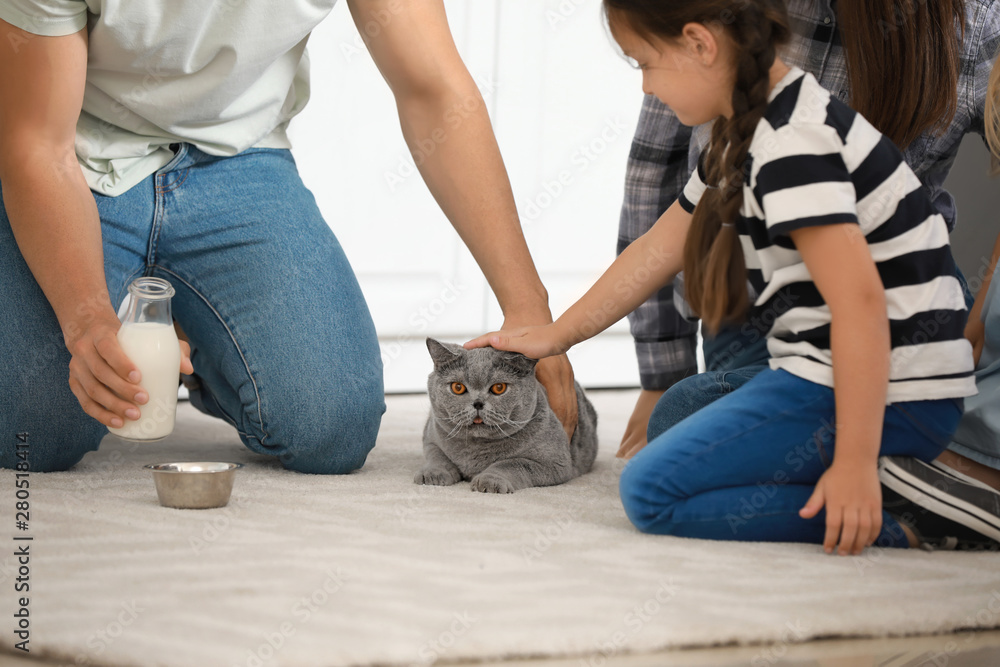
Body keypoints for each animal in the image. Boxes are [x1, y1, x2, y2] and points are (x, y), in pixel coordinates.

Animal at [414, 340, 592, 490]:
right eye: (458, 387)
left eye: (499, 388)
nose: (478, 403)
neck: (475, 449)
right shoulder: (431, 438)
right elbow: (436, 456)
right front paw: (432, 473)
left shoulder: (555, 463)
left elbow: (511, 463)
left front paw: (490, 480)